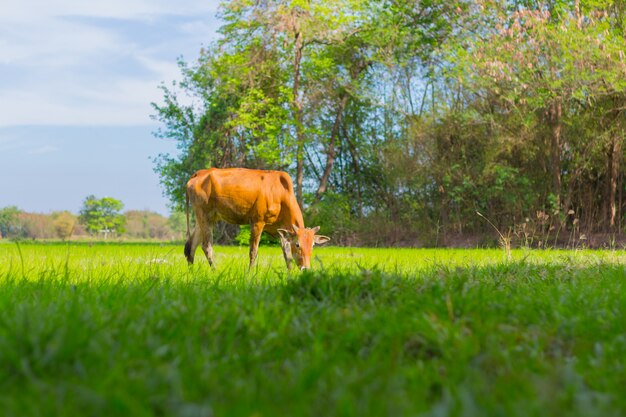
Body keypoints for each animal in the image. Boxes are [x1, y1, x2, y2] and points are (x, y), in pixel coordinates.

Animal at [183, 167, 330, 270]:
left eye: (313, 245)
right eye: (298, 244)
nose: (306, 268)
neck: (282, 195)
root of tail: (199, 173)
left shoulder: (280, 230)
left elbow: (287, 255)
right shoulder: (257, 222)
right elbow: (253, 251)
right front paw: (250, 274)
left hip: (207, 217)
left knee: (191, 245)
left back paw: (192, 273)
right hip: (204, 214)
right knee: (206, 246)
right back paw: (215, 271)